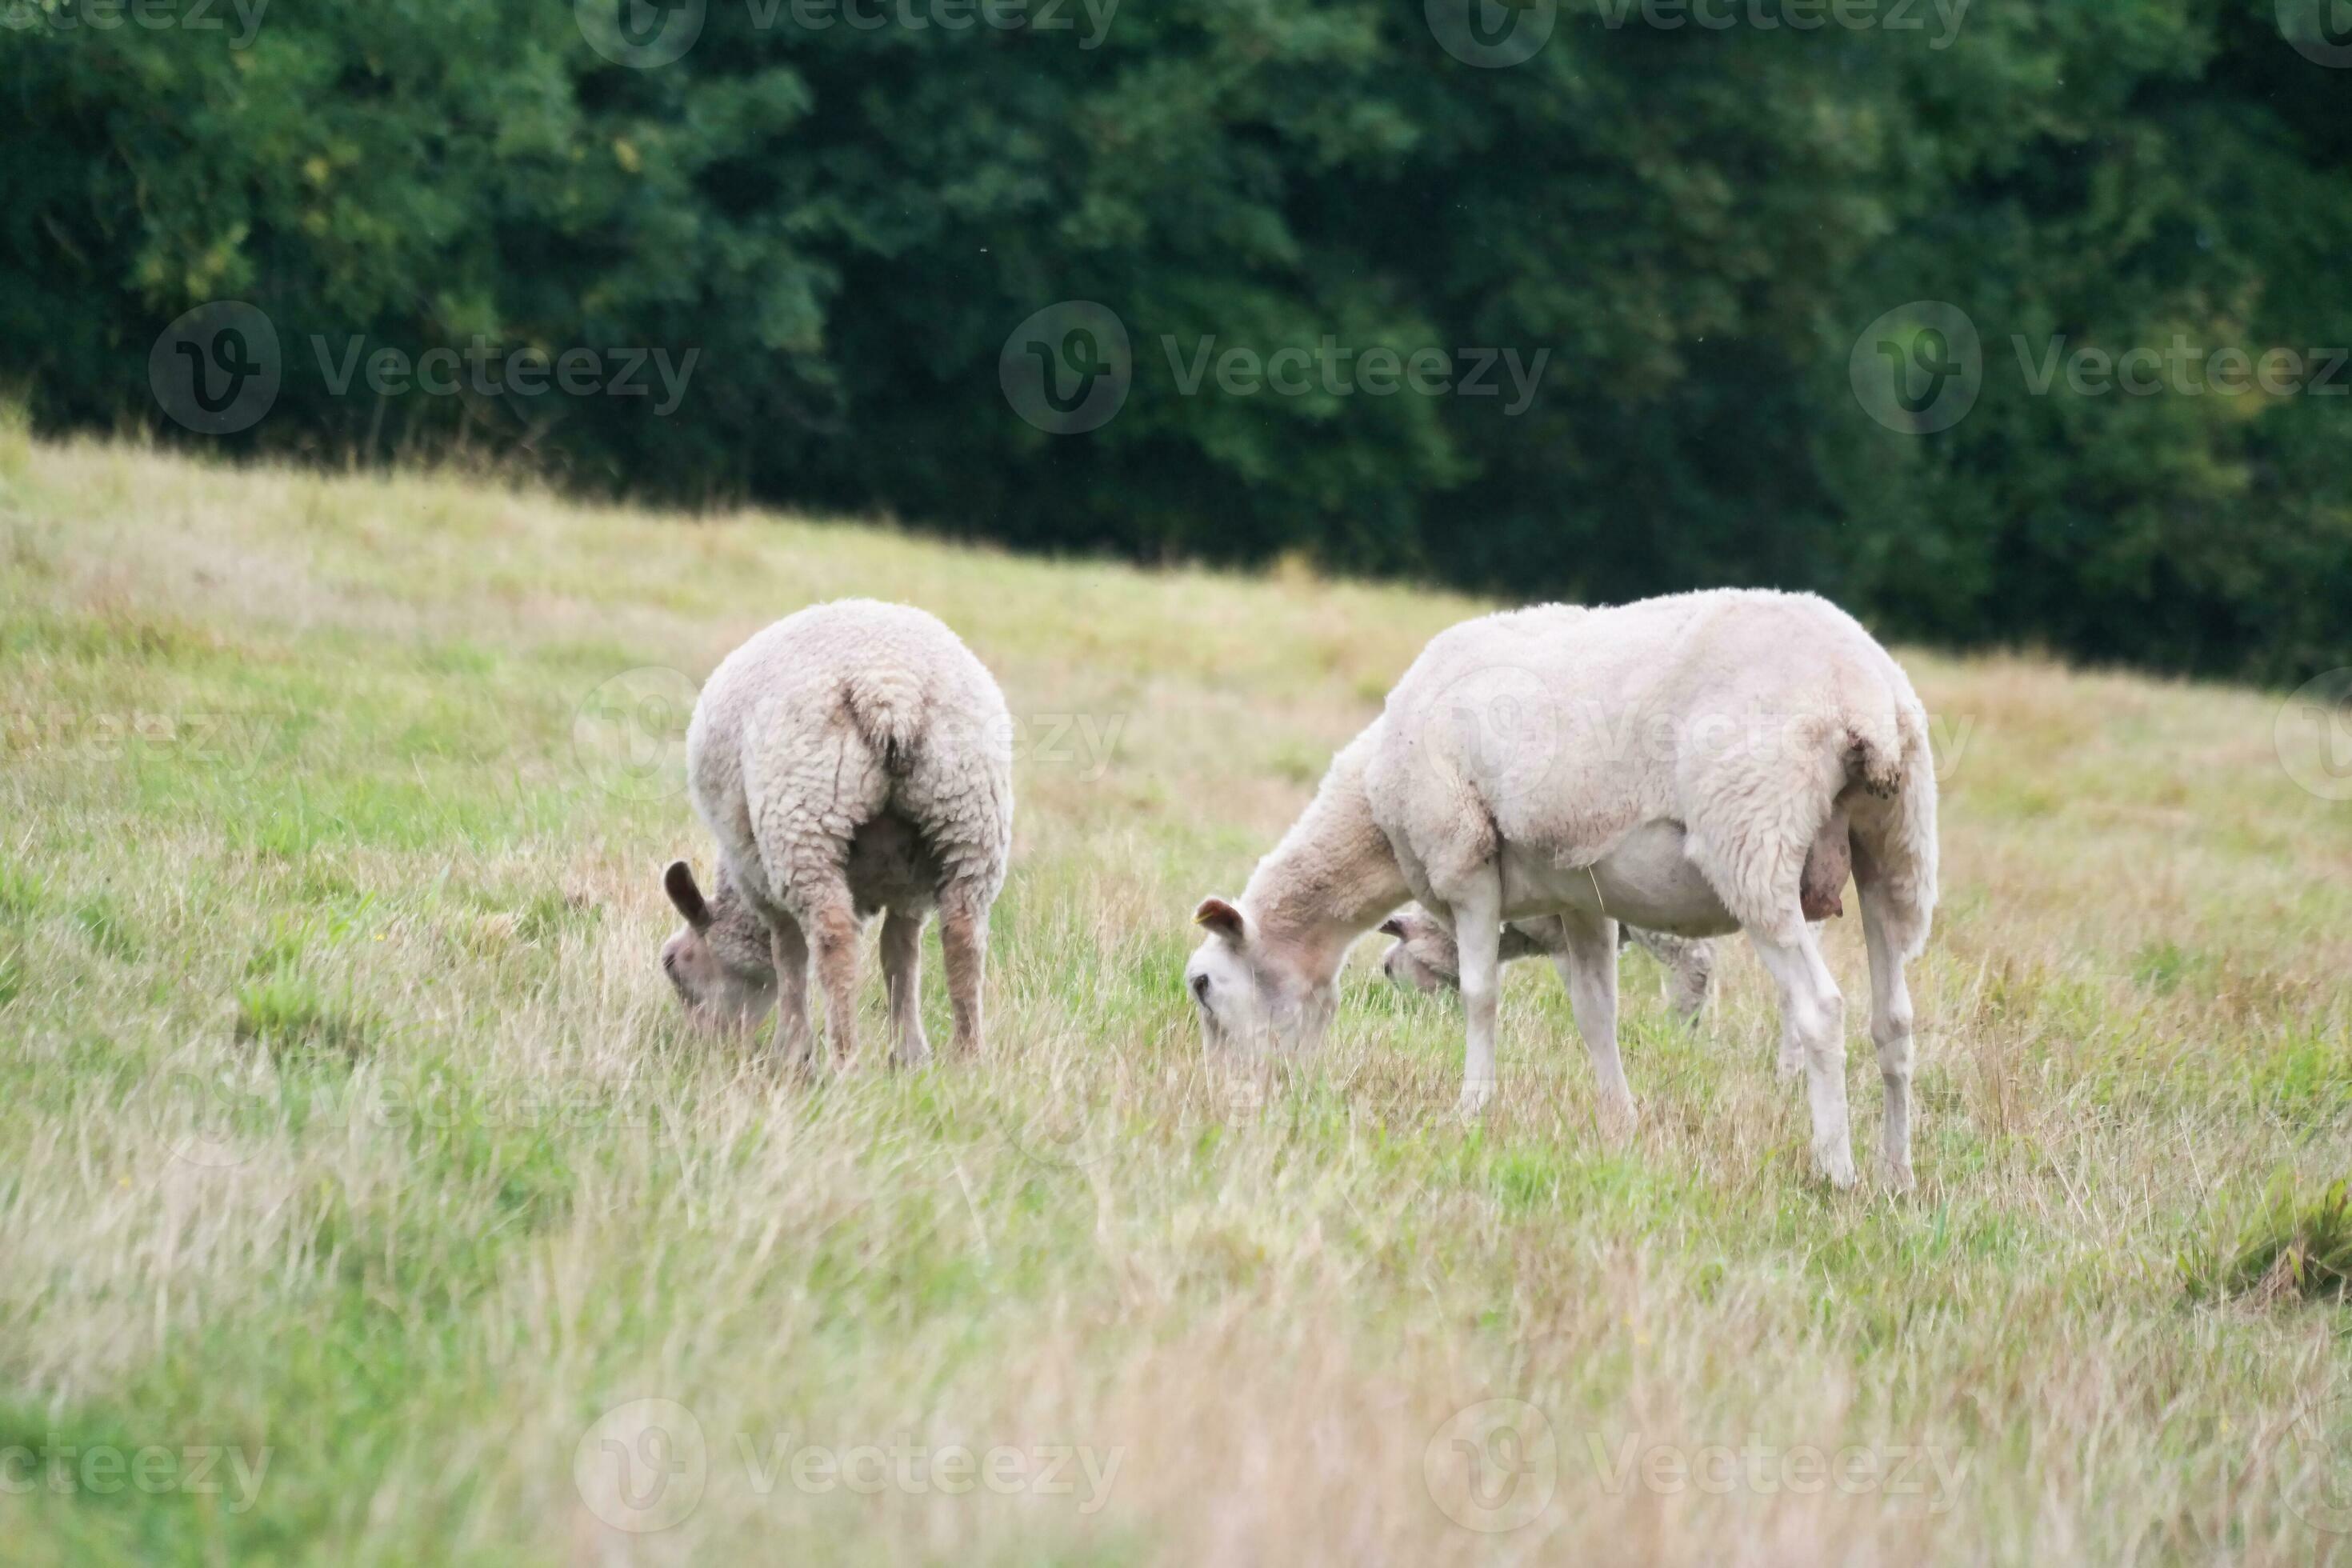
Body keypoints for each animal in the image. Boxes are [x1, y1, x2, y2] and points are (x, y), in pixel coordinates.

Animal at [659, 600, 1013, 1068]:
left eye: (673, 965)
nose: (701, 1046)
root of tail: (889, 688)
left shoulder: (757, 875)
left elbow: (789, 953)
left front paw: (791, 1051)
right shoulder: (911, 890)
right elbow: (900, 955)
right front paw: (910, 1055)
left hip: (804, 815)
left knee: (833, 936)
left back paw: (844, 1059)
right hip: (968, 816)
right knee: (963, 932)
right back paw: (968, 1055)